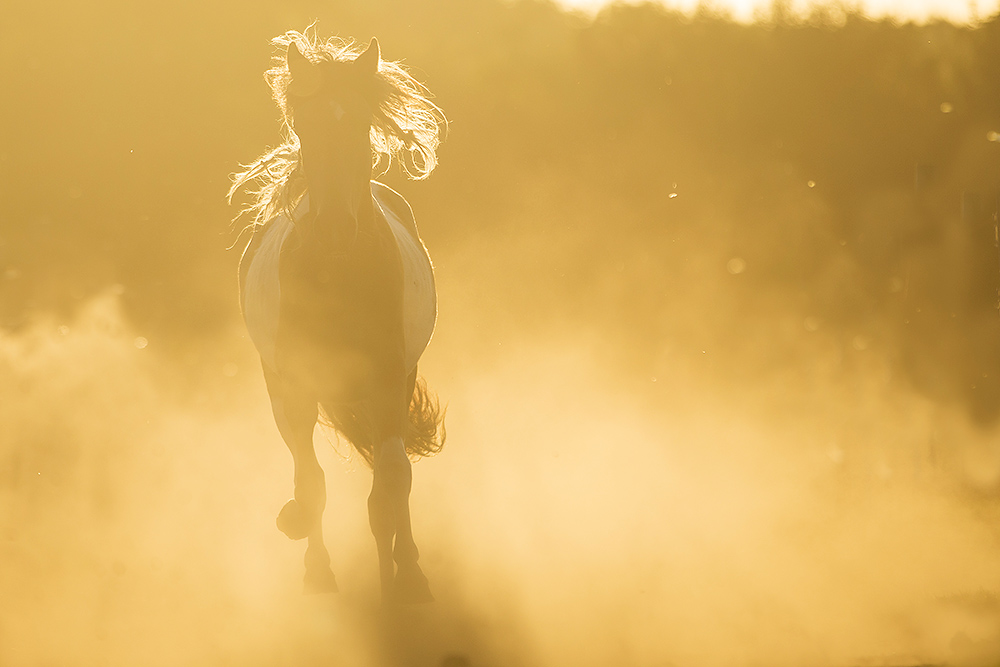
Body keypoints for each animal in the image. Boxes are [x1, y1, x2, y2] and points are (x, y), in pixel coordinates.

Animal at [229, 31, 448, 604]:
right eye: (304, 125)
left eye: (359, 122)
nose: (331, 228)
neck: (338, 274)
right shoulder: (293, 387)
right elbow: (311, 482)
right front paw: (313, 560)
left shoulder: (389, 381)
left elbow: (389, 486)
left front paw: (401, 581)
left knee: (394, 476)